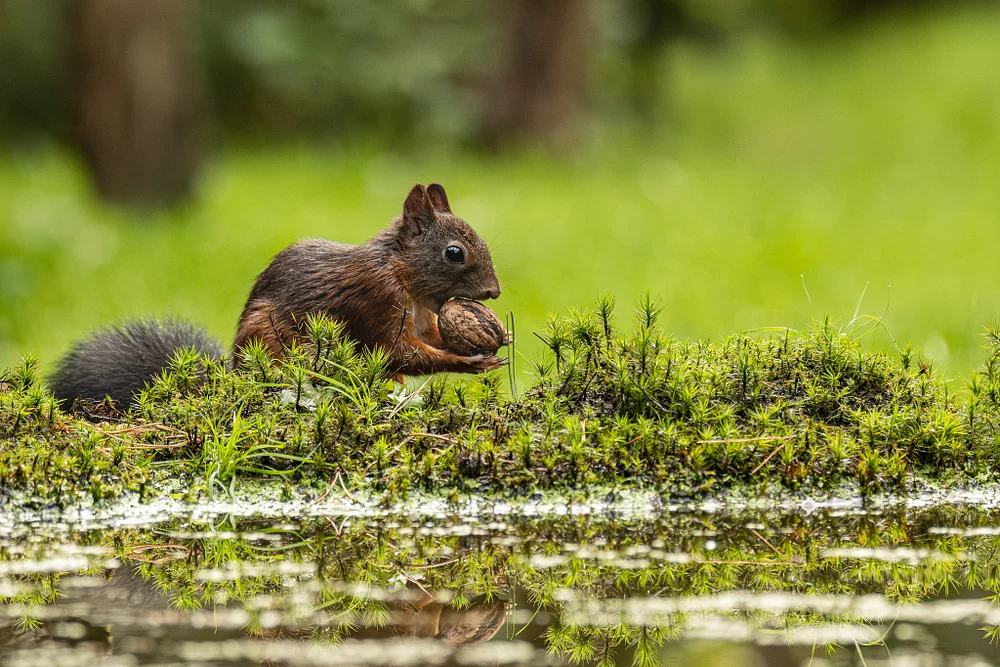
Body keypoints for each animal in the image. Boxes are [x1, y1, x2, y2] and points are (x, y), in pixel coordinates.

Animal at [50, 183, 506, 408]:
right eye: (453, 253)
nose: (494, 292)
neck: (404, 276)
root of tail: (232, 374)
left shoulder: (423, 316)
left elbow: (425, 342)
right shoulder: (375, 299)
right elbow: (399, 351)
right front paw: (470, 362)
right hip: (268, 342)